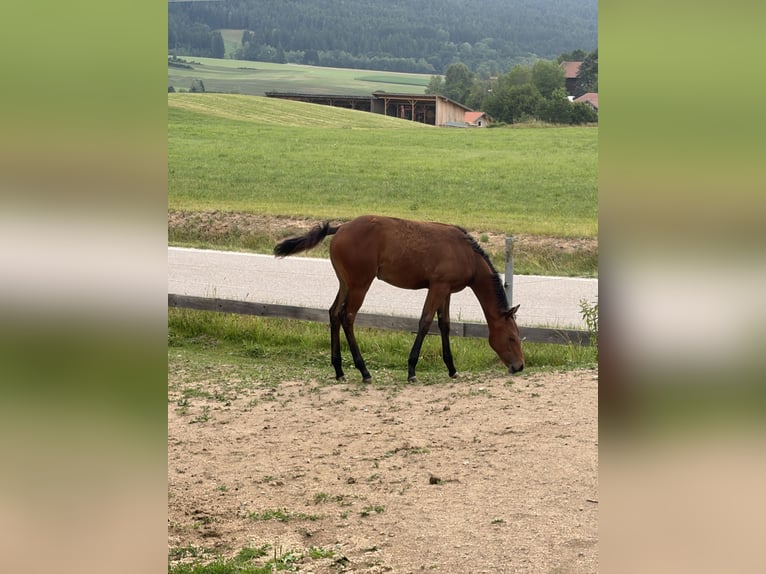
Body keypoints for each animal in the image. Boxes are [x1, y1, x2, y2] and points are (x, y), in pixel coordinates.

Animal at [274, 215, 524, 382]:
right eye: (512, 338)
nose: (519, 366)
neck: (466, 253)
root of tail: (341, 227)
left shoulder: (446, 290)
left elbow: (444, 324)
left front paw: (452, 368)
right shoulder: (437, 286)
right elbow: (425, 322)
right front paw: (411, 370)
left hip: (345, 283)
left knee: (334, 313)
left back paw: (339, 370)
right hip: (360, 284)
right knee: (348, 316)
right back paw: (364, 371)